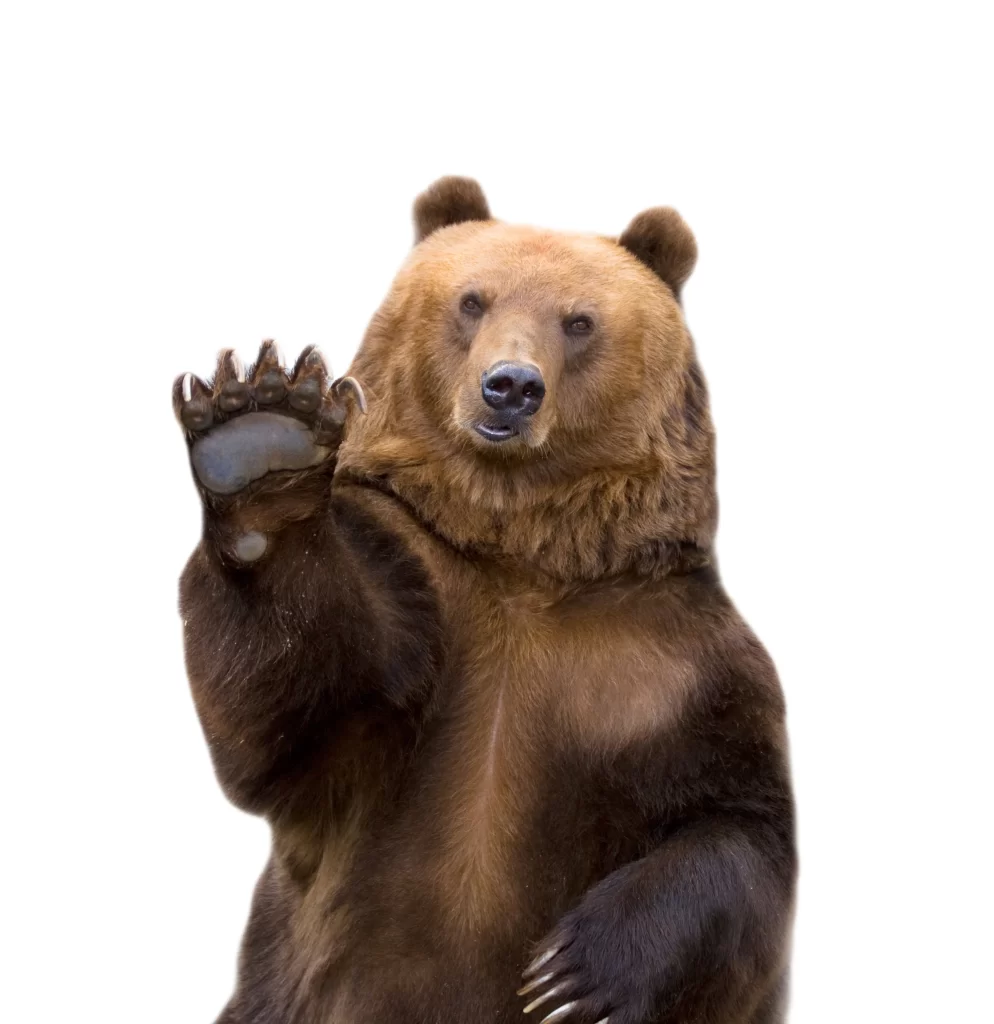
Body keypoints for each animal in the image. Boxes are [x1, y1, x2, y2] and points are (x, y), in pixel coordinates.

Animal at [173, 176, 796, 1024]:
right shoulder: (411, 593)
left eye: (579, 320)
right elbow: (290, 714)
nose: (512, 387)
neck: (520, 553)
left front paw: (571, 976)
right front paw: (261, 438)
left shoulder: (673, 663)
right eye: (473, 300)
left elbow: (738, 824)